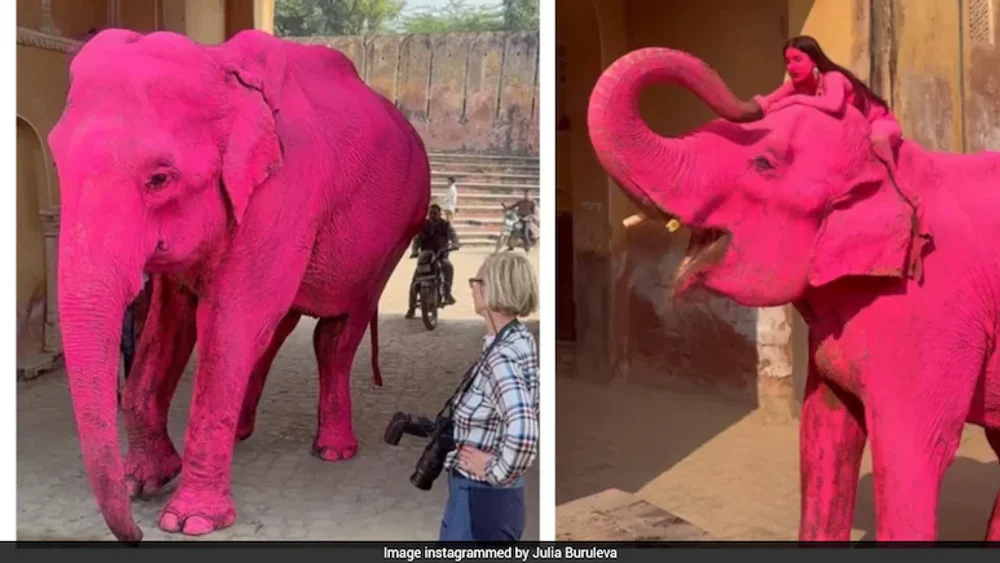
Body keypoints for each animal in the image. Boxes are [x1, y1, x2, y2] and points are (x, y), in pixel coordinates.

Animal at [47, 29, 430, 542]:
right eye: (57, 163)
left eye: (160, 179)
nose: (135, 534)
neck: (220, 66)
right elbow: (172, 324)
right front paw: (142, 482)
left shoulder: (284, 191)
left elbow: (229, 323)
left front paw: (189, 521)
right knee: (278, 328)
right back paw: (244, 432)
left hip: (396, 234)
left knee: (335, 331)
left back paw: (332, 451)